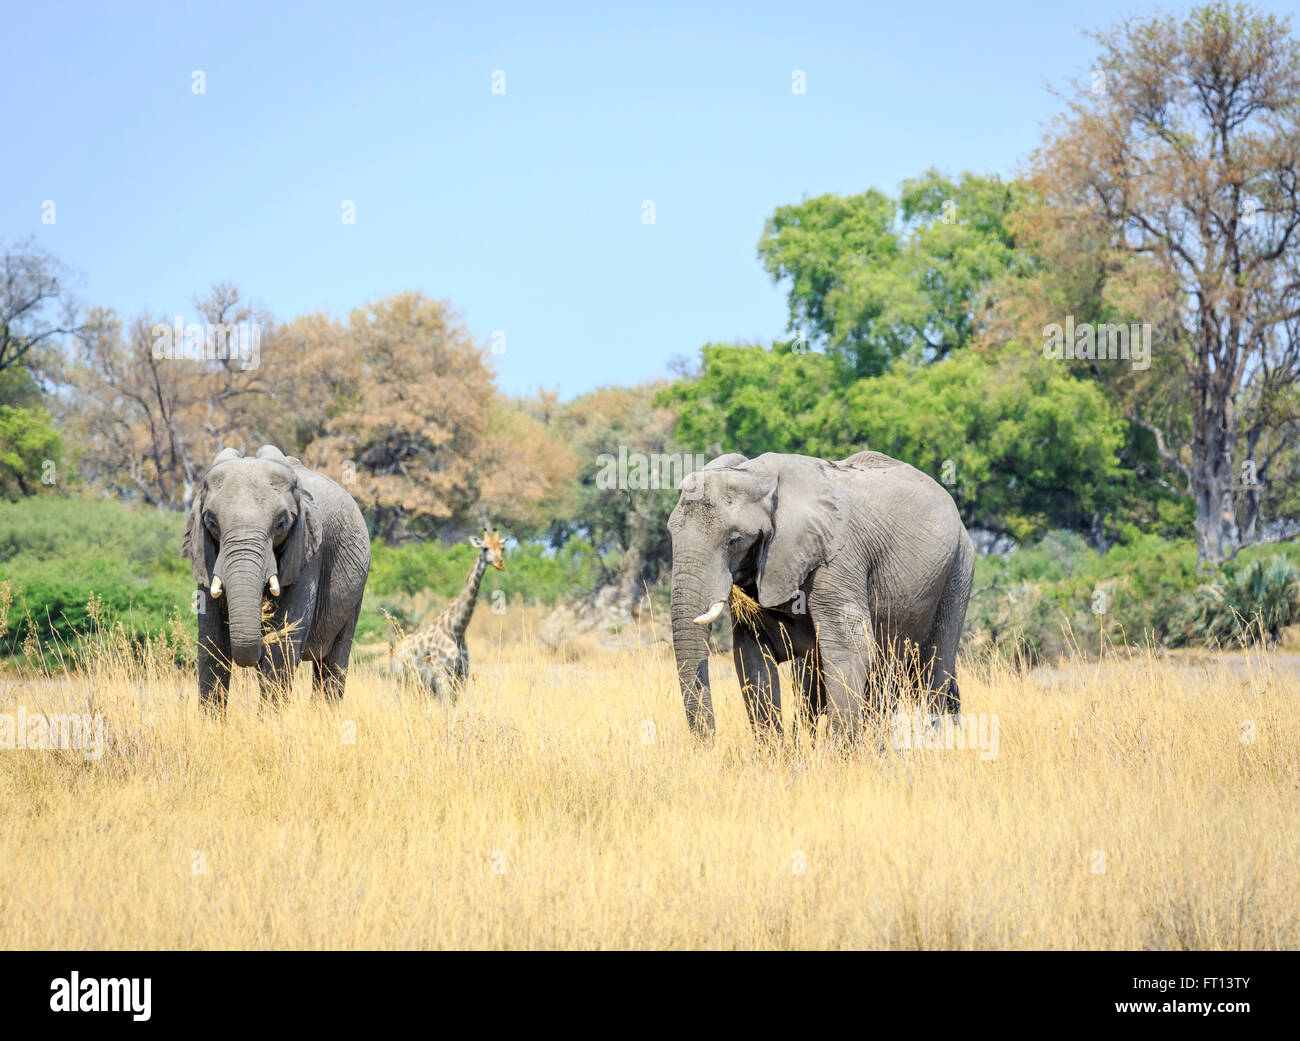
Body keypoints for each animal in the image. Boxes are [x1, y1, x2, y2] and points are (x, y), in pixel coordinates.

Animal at [182, 441, 371, 701]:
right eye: (211, 522)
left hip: (357, 589)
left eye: (281, 523)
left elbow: (281, 648)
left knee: (334, 662)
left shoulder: (307, 554)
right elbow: (212, 643)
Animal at [387, 525, 504, 701]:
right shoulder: (441, 673)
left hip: (419, 686)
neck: (457, 629)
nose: (499, 563)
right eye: (485, 548)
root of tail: (394, 654)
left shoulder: (462, 675)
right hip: (402, 681)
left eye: (502, 548)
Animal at [670, 447, 977, 738]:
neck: (759, 475)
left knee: (935, 672)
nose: (708, 743)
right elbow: (752, 654)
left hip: (958, 569)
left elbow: (849, 650)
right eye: (670, 533)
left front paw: (841, 753)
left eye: (735, 540)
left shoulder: (837, 561)